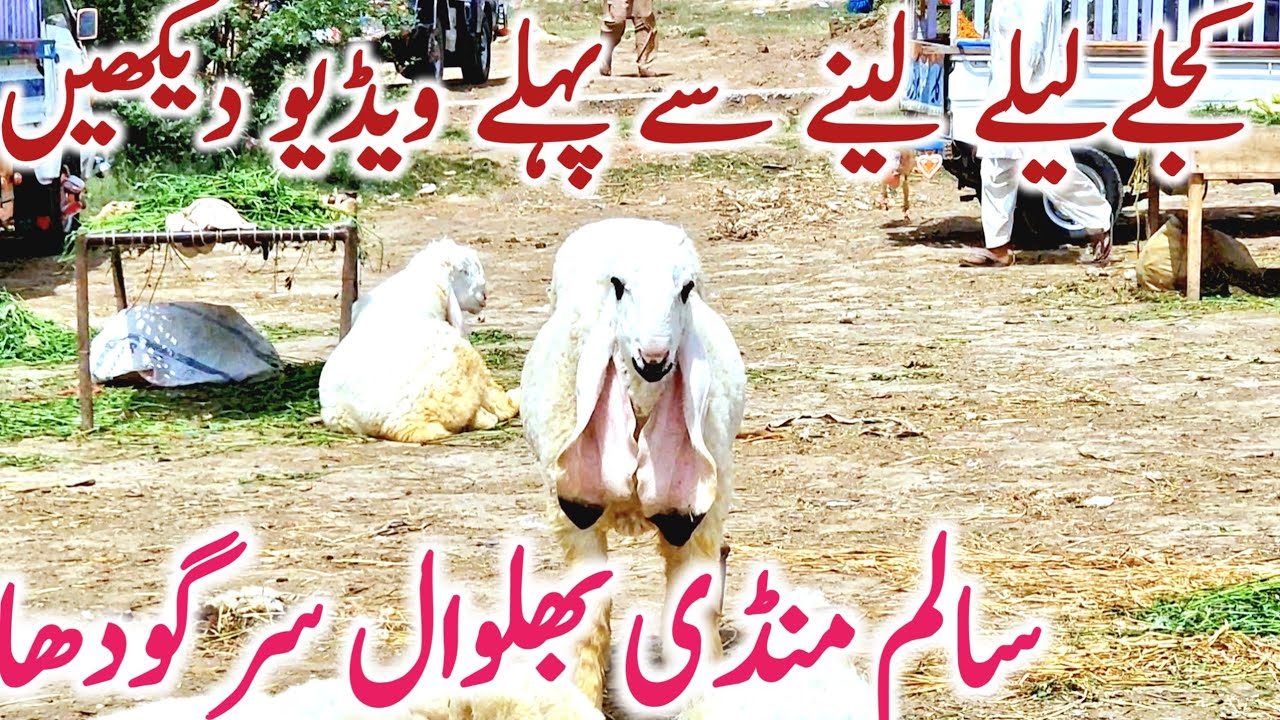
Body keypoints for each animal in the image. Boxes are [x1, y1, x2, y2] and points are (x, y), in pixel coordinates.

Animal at [517, 218, 748, 711]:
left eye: (686, 289)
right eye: (619, 287)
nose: (654, 359)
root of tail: (630, 222)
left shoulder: (693, 517)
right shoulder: (575, 513)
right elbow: (589, 616)